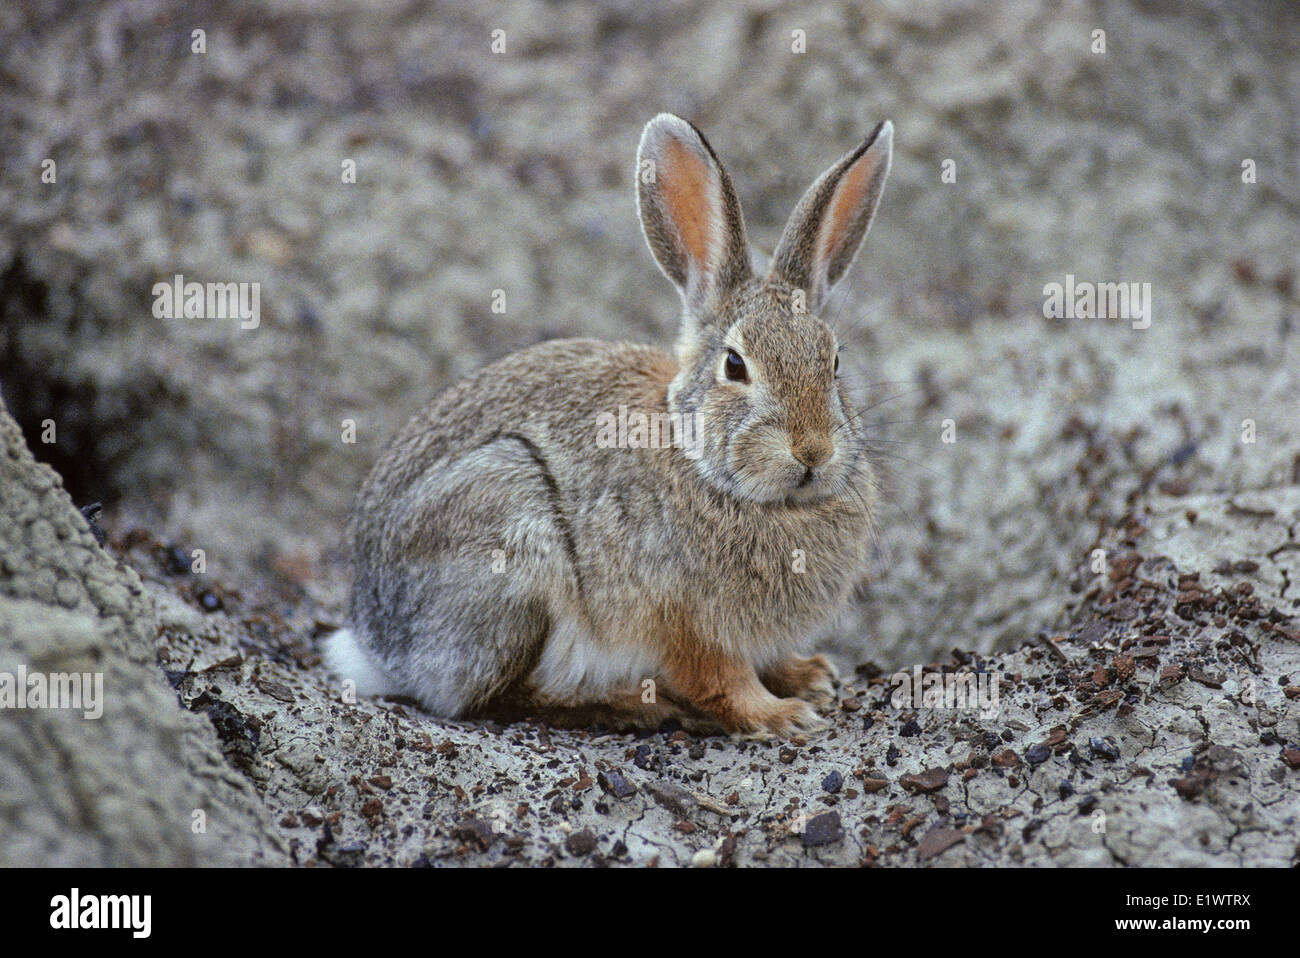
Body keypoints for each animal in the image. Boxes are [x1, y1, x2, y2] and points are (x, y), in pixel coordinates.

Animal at [325, 113, 894, 738]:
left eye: (834, 362)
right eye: (735, 365)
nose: (812, 451)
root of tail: (379, 645)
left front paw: (810, 676)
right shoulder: (688, 625)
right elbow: (723, 683)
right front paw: (783, 715)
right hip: (510, 536)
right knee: (497, 697)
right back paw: (637, 704)